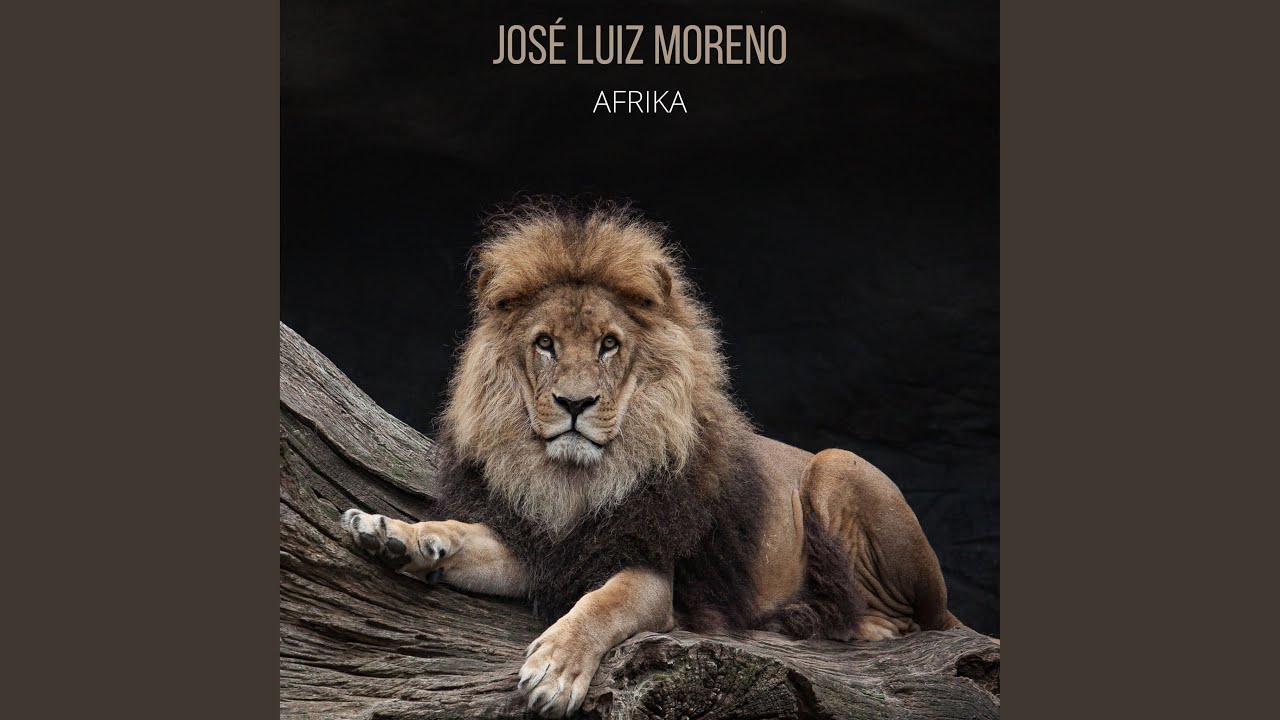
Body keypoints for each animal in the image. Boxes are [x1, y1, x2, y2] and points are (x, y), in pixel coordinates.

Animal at [339, 203, 966, 718]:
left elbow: (602, 605)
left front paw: (555, 669)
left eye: (609, 345)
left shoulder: (650, 569)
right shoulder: (547, 548)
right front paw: (394, 534)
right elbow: (463, 534)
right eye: (545, 344)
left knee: (902, 621)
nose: (574, 404)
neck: (575, 482)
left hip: (839, 467)